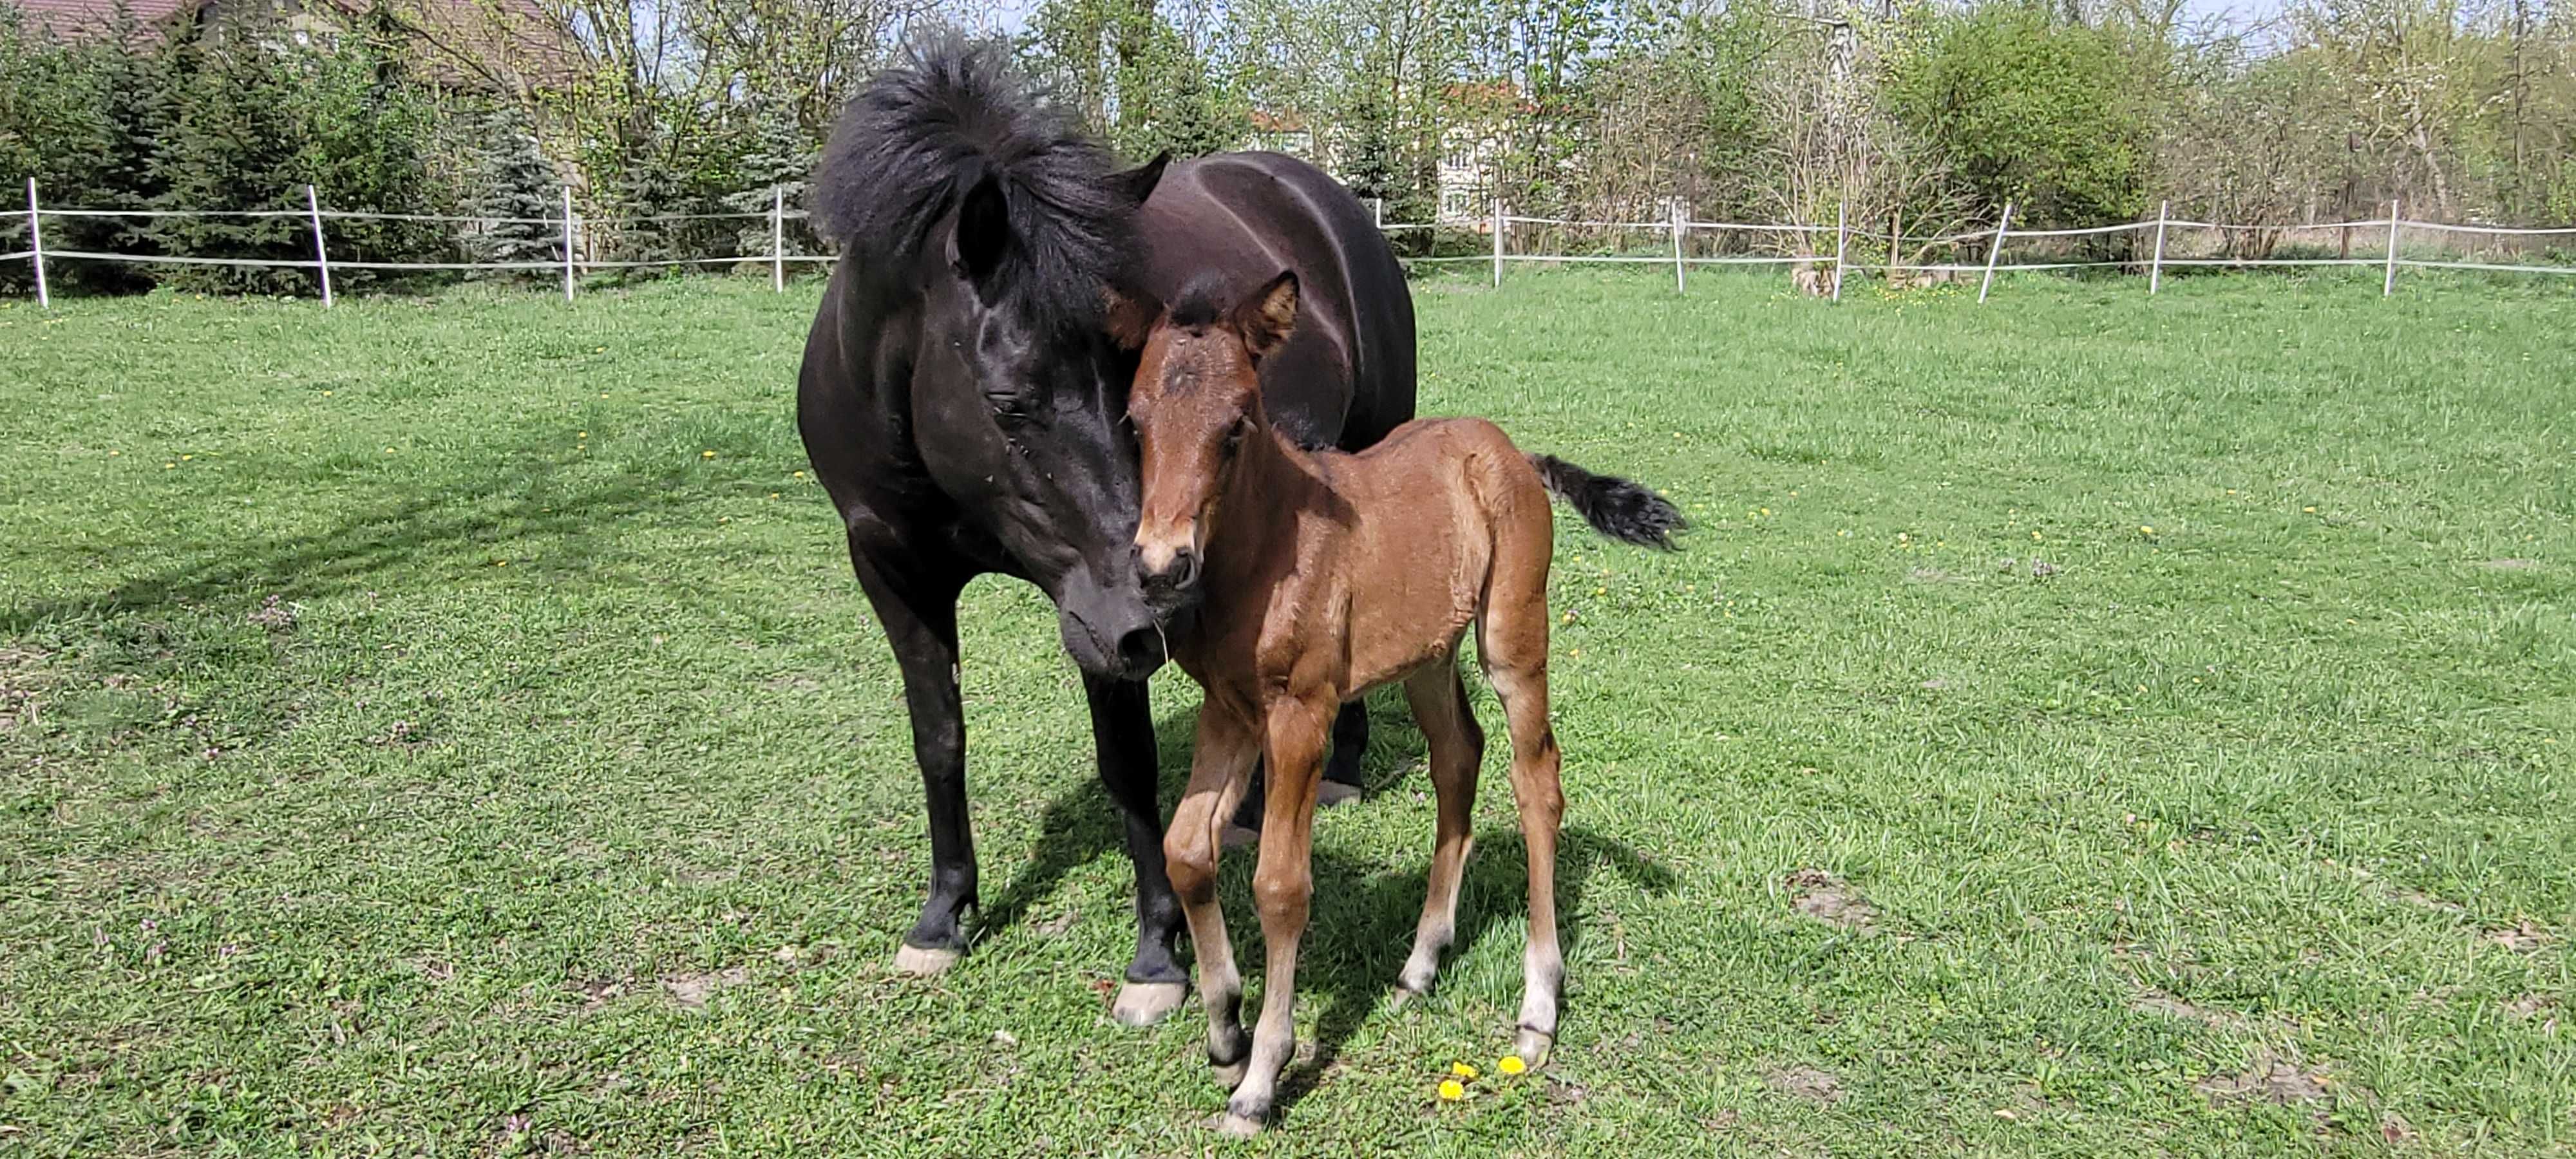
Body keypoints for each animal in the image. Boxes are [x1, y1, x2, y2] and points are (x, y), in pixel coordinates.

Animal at [799, 38, 1422, 1025]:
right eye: (1010, 399)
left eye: (1130, 370)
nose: (1170, 600)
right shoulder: (895, 571)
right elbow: (939, 738)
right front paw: (943, 917)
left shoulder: (1102, 614)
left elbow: (1126, 761)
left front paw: (1157, 956)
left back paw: (1344, 770)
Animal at [1113, 272, 1680, 1133]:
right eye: (1135, 422)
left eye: (1236, 425)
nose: (1160, 567)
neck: (1265, 547)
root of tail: (1512, 453)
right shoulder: (1231, 709)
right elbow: (1184, 850)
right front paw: (1224, 1032)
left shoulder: (1302, 714)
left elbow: (1280, 886)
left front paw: (1261, 1076)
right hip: (1427, 656)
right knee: (1458, 757)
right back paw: (1421, 962)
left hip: (1512, 639)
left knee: (1536, 782)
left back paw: (1538, 1009)